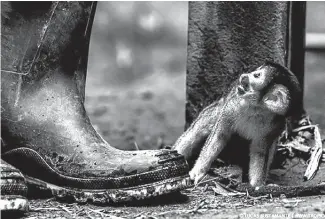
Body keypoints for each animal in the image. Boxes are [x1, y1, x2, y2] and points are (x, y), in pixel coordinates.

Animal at [172, 61, 302, 186]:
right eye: (255, 72)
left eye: (256, 75)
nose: (243, 76)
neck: (257, 109)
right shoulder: (232, 105)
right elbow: (219, 136)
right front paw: (198, 171)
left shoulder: (275, 126)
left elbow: (260, 151)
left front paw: (258, 184)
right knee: (203, 125)